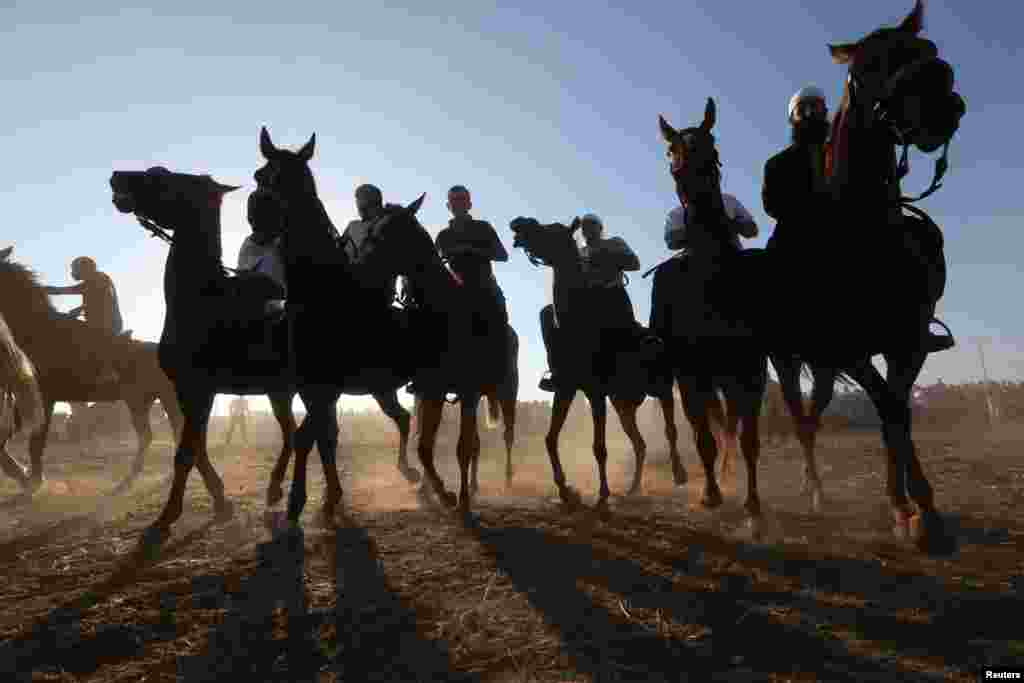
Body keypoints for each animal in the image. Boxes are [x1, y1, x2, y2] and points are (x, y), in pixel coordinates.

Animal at [0, 245, 182, 497]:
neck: (40, 331)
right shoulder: (31, 398)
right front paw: (24, 476)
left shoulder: (45, 397)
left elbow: (36, 441)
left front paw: (32, 479)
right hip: (145, 400)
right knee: (153, 435)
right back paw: (131, 482)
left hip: (156, 399)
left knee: (166, 432)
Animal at [512, 216, 696, 509]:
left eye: (553, 229)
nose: (519, 223)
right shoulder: (566, 389)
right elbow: (550, 439)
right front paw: (567, 492)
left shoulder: (595, 392)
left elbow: (599, 447)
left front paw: (602, 496)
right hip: (622, 402)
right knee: (640, 442)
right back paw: (633, 488)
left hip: (662, 386)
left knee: (670, 428)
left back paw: (679, 473)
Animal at [655, 1, 966, 557]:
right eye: (870, 64)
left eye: (927, 49)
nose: (939, 105)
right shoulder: (845, 351)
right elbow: (887, 409)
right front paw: (909, 507)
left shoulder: (906, 344)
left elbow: (897, 414)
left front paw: (915, 506)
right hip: (783, 359)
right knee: (793, 421)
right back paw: (800, 490)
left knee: (812, 416)